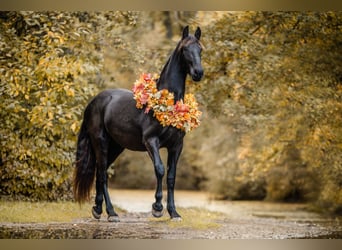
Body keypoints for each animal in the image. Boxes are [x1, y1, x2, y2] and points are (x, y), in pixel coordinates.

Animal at [74, 24, 203, 221]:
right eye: (185, 49)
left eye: (200, 49)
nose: (198, 73)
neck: (166, 103)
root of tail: (93, 102)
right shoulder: (151, 141)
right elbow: (159, 169)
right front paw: (157, 208)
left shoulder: (176, 146)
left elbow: (171, 177)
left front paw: (173, 212)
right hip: (100, 142)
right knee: (102, 173)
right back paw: (110, 212)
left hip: (116, 146)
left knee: (101, 172)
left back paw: (100, 209)